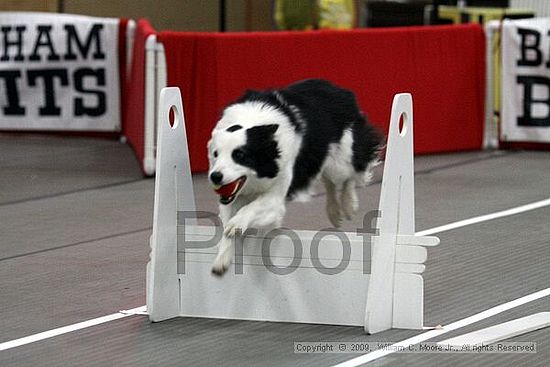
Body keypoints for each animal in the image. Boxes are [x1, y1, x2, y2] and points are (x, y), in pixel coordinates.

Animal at [208, 80, 384, 276]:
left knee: (348, 176)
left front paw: (236, 224)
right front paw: (222, 259)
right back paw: (334, 212)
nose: (215, 177)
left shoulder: (277, 193)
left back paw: (348, 204)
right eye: (216, 154)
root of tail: (340, 89)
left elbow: (251, 208)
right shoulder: (231, 196)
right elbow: (227, 222)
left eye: (240, 155)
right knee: (329, 181)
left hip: (341, 159)